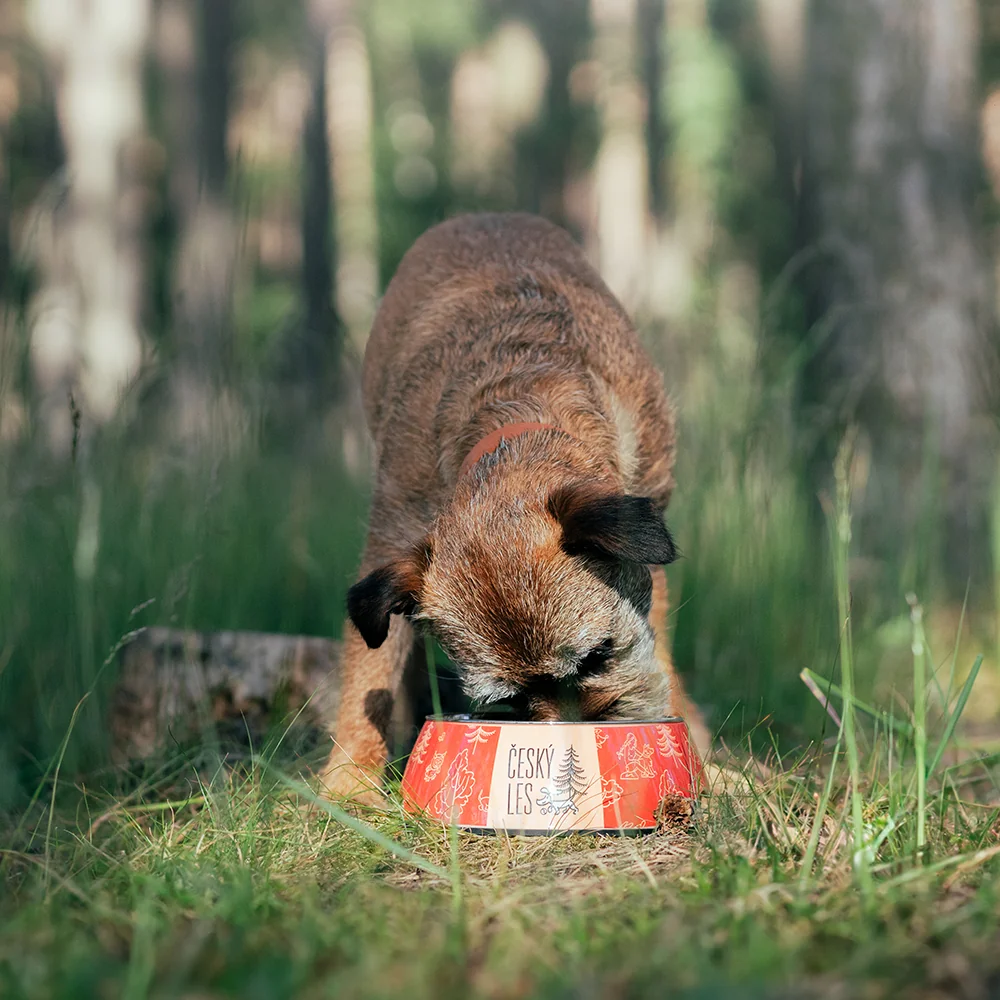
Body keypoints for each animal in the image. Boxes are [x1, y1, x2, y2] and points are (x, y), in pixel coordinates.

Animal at [318, 215, 704, 800]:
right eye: (510, 699)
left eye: (598, 656)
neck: (523, 412)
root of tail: (482, 215)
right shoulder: (391, 536)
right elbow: (372, 668)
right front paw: (349, 781)